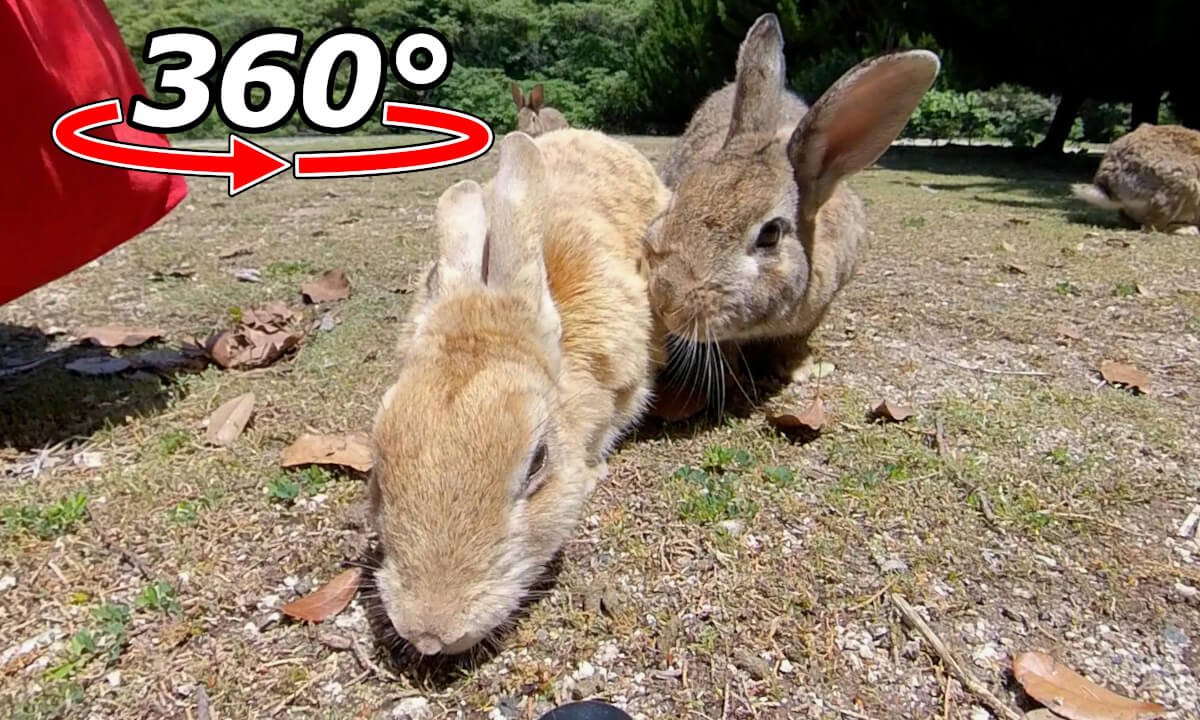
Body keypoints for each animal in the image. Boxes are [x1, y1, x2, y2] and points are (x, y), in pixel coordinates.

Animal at [644, 13, 939, 389]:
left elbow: (796, 339)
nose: (665, 296)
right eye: (677, 199)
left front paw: (798, 369)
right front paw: (734, 370)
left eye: (770, 234)